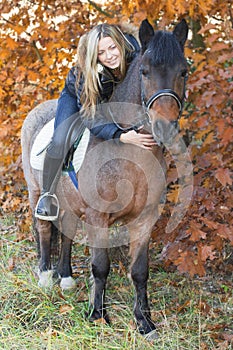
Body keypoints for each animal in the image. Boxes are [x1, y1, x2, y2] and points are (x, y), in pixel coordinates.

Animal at [20, 19, 189, 336]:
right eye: (144, 71)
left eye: (183, 71)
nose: (164, 128)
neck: (131, 156)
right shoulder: (98, 217)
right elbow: (100, 266)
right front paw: (98, 315)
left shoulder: (144, 219)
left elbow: (140, 271)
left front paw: (144, 322)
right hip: (37, 192)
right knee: (45, 229)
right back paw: (46, 276)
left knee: (67, 231)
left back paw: (65, 277)